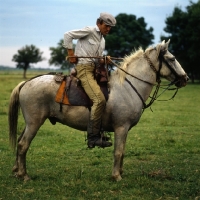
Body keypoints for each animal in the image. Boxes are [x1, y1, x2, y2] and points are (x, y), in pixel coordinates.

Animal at [8, 40, 188, 181]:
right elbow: (118, 152)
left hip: (29, 123)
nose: (185, 78)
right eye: (172, 58)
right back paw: (24, 175)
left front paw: (120, 172)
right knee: (23, 144)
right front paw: (116, 176)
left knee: (20, 142)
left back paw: (17, 171)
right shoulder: (121, 127)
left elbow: (122, 152)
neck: (128, 86)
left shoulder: (125, 130)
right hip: (34, 123)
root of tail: (26, 83)